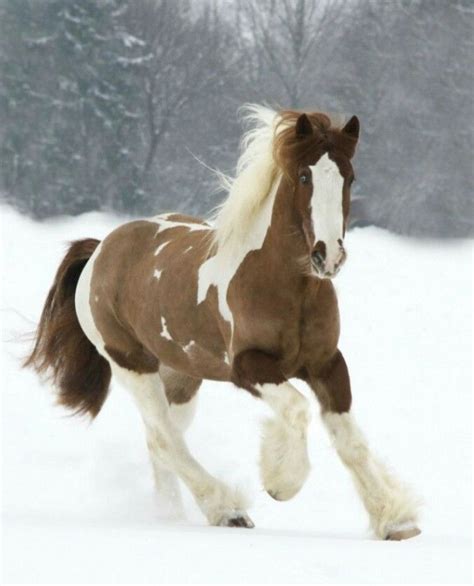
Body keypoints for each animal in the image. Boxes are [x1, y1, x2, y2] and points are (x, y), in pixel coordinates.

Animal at [25, 106, 422, 540]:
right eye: (304, 176)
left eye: (350, 176)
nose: (328, 256)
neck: (286, 285)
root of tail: (101, 249)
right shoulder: (248, 366)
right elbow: (297, 410)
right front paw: (281, 482)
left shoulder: (327, 364)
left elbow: (350, 441)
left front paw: (396, 519)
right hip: (131, 363)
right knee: (166, 439)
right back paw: (226, 510)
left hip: (182, 375)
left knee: (160, 438)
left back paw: (171, 515)